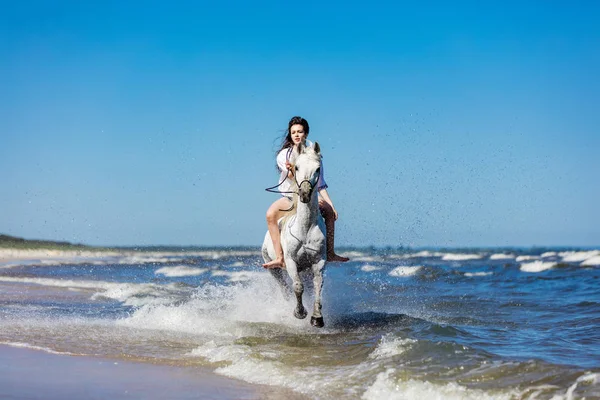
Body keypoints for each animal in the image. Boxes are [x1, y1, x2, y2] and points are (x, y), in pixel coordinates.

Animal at [262, 142, 328, 326]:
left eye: (318, 169)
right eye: (296, 167)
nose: (304, 194)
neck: (305, 229)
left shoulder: (318, 261)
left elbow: (318, 286)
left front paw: (317, 318)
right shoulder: (291, 261)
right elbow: (297, 287)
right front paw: (299, 313)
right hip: (273, 268)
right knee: (284, 288)